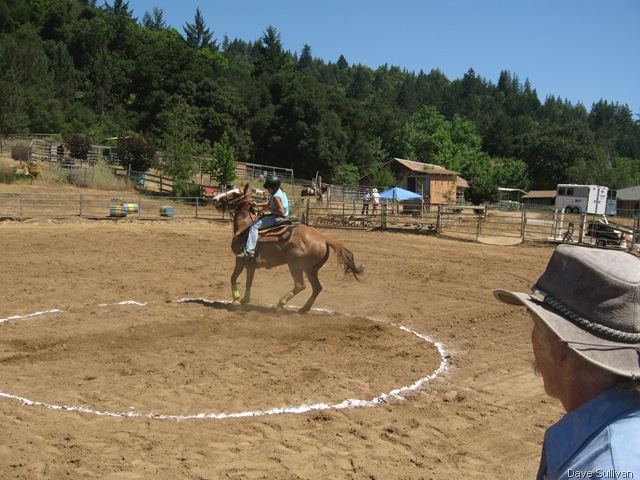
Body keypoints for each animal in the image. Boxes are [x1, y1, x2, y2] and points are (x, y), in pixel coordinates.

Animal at [211, 183, 364, 313]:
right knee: (317, 288)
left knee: (300, 285)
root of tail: (323, 239)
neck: (245, 227)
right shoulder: (251, 264)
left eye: (235, 193)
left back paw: (280, 304)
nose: (214, 199)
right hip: (310, 269)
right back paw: (304, 308)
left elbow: (233, 278)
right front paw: (244, 300)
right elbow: (249, 282)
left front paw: (236, 301)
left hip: (295, 265)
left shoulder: (240, 259)